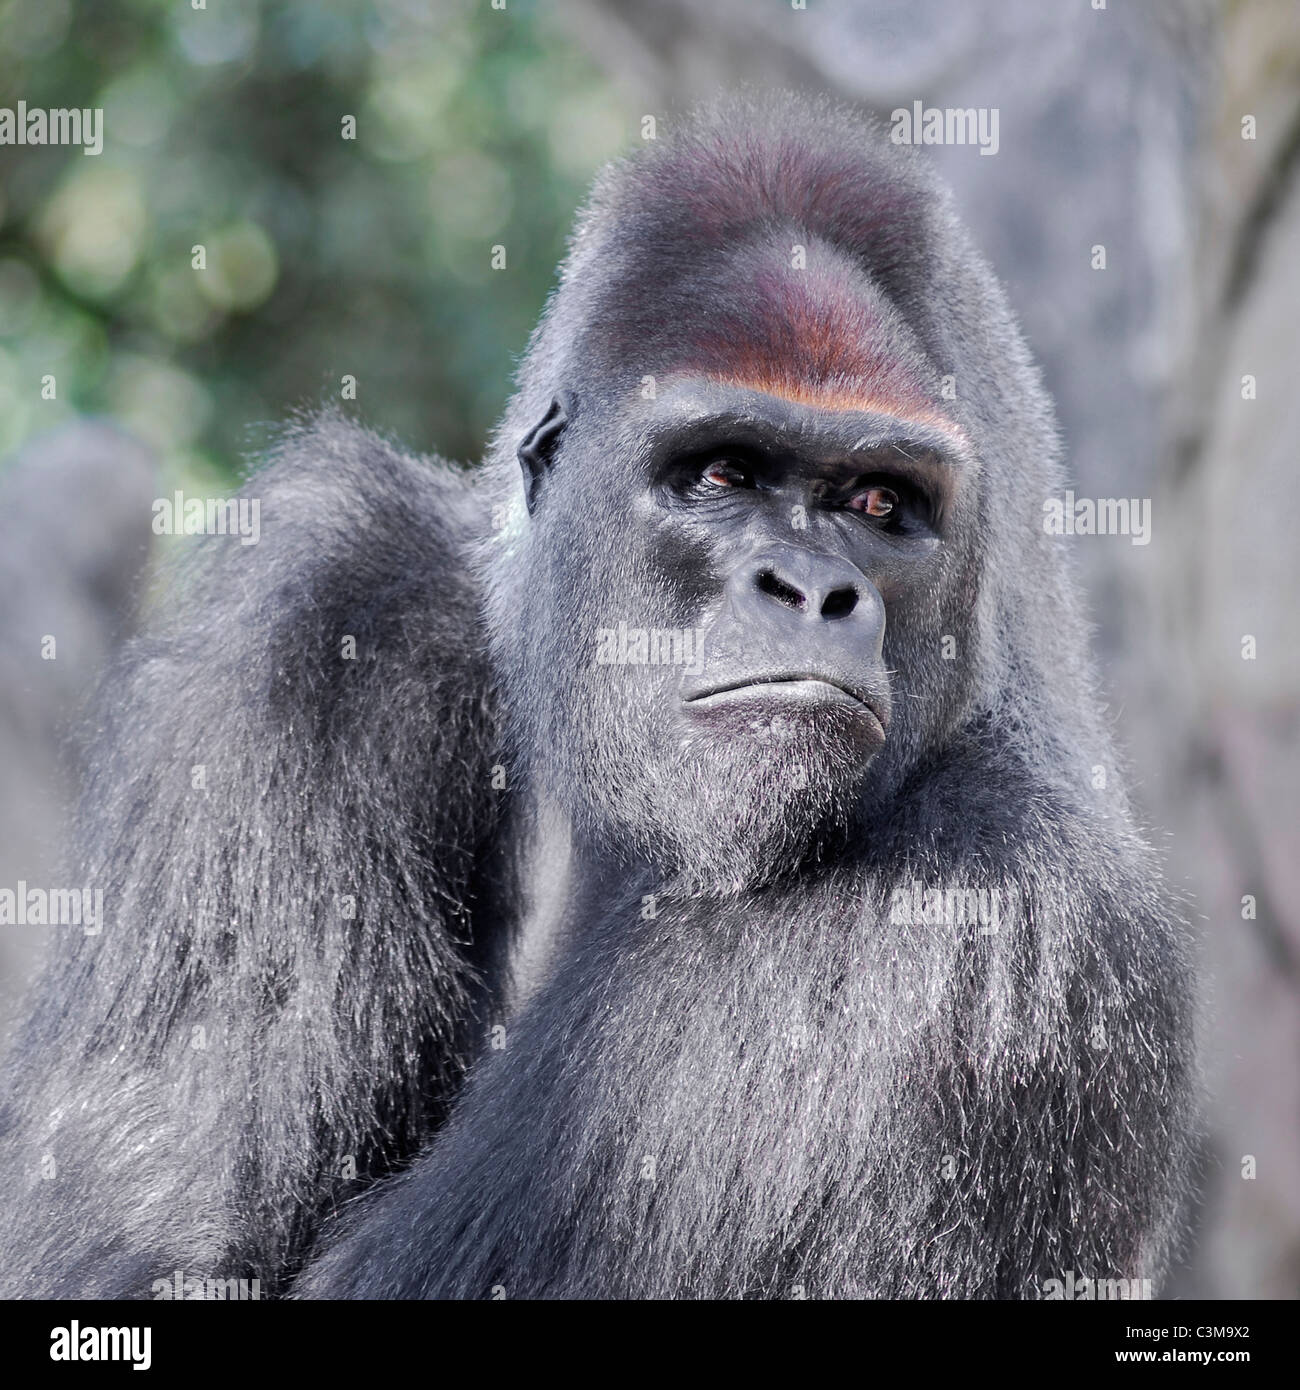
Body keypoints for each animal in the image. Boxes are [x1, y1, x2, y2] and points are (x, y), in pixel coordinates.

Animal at [2, 97, 1201, 1301]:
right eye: (721, 473)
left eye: (878, 502)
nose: (813, 590)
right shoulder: (318, 614)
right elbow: (134, 1251)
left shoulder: (1000, 909)